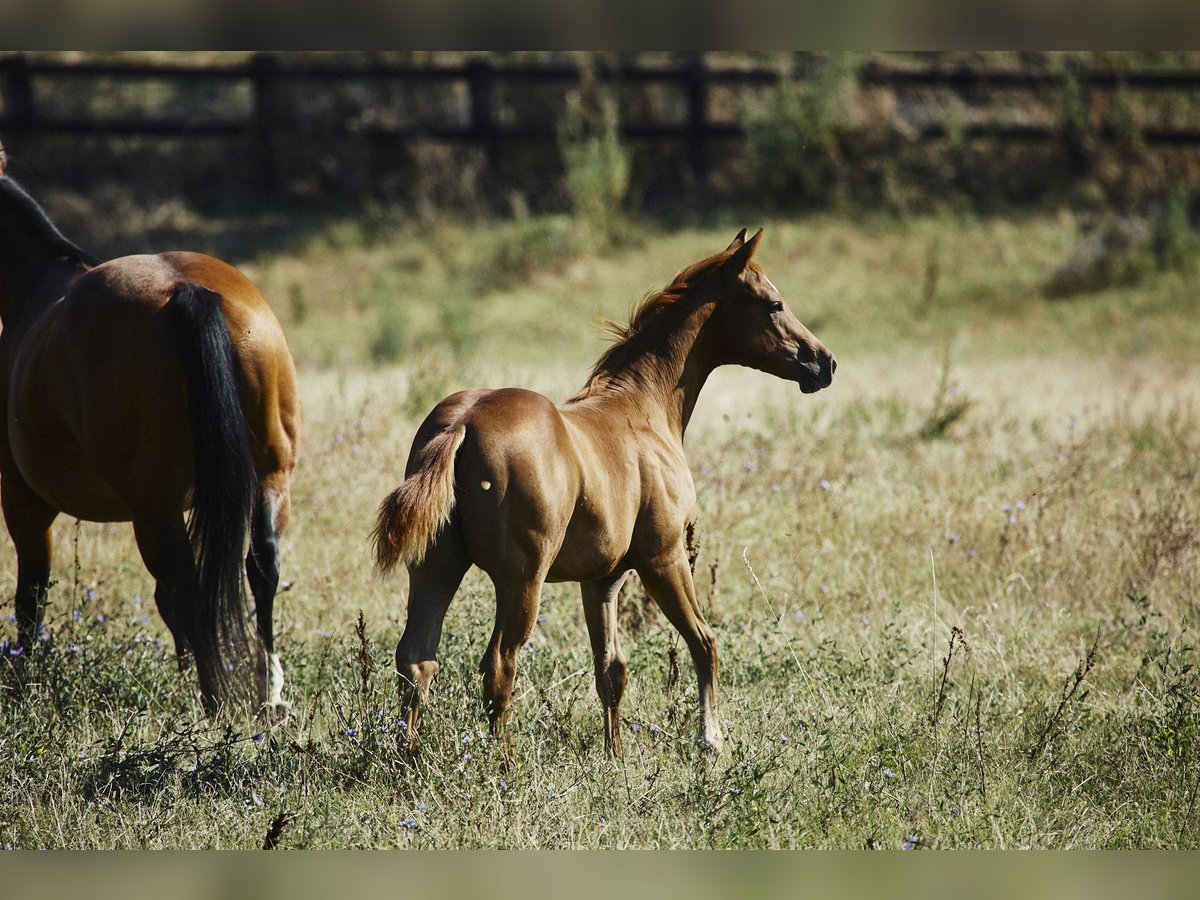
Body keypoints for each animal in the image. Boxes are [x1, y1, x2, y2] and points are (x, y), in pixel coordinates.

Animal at [0, 142, 300, 720]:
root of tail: (187, 291)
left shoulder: (23, 500)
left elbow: (31, 599)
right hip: (269, 479)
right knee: (258, 569)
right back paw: (266, 693)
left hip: (153, 510)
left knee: (190, 592)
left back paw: (213, 706)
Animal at [374, 230, 835, 753]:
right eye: (774, 303)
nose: (825, 362)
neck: (644, 408)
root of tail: (465, 422)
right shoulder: (663, 557)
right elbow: (704, 642)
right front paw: (710, 740)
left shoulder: (602, 579)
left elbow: (612, 670)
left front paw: (615, 756)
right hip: (521, 579)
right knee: (499, 666)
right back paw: (503, 762)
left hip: (435, 568)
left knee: (416, 659)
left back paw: (409, 759)